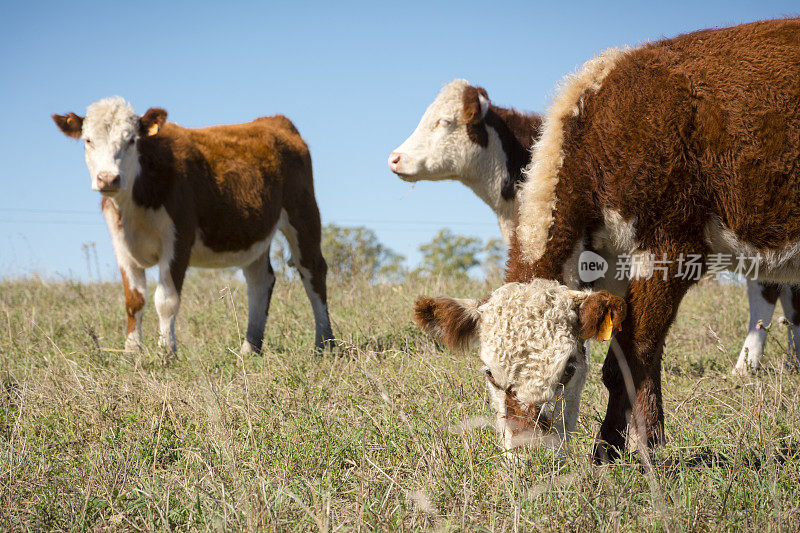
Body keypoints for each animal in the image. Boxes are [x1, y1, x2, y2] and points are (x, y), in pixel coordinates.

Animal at [52, 97, 334, 356]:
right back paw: (249, 348)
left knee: (312, 271)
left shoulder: (179, 238)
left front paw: (166, 353)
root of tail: (274, 120)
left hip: (303, 213)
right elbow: (134, 301)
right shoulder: (121, 245)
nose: (108, 178)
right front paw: (132, 352)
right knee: (260, 280)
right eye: (88, 140)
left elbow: (165, 300)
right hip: (254, 233)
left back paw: (325, 343)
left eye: (131, 140)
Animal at [412, 18, 800, 462]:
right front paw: (610, 449)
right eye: (490, 373)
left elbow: (637, 351)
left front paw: (641, 446)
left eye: (568, 368)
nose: (530, 456)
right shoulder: (611, 266)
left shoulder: (671, 249)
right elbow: (617, 360)